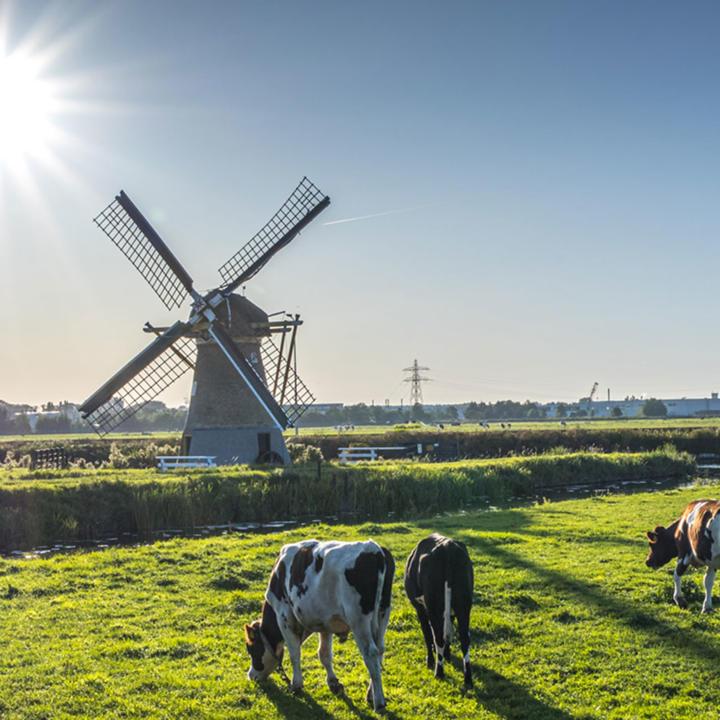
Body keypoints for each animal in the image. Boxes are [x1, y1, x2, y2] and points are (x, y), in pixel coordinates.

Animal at [246, 536, 394, 712]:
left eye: (252, 650)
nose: (251, 675)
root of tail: (374, 548)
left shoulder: (284, 616)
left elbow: (294, 653)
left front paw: (296, 685)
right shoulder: (326, 622)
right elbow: (324, 654)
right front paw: (333, 683)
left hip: (358, 620)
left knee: (370, 653)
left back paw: (379, 702)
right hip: (383, 613)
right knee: (380, 650)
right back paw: (371, 694)